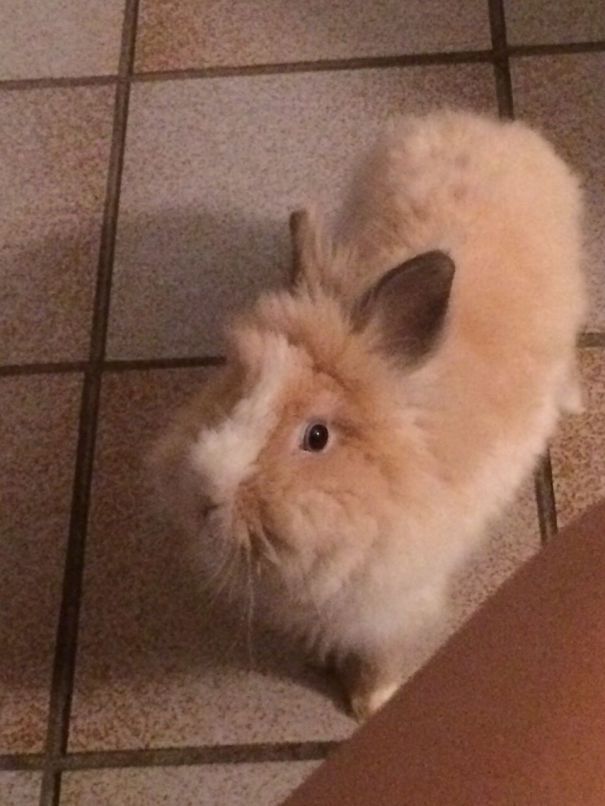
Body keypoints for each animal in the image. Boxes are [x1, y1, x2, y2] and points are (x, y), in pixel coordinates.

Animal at [151, 109, 586, 721]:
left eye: (316, 436)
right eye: (235, 385)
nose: (205, 498)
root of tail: (496, 130)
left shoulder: (389, 606)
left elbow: (377, 658)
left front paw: (368, 705)